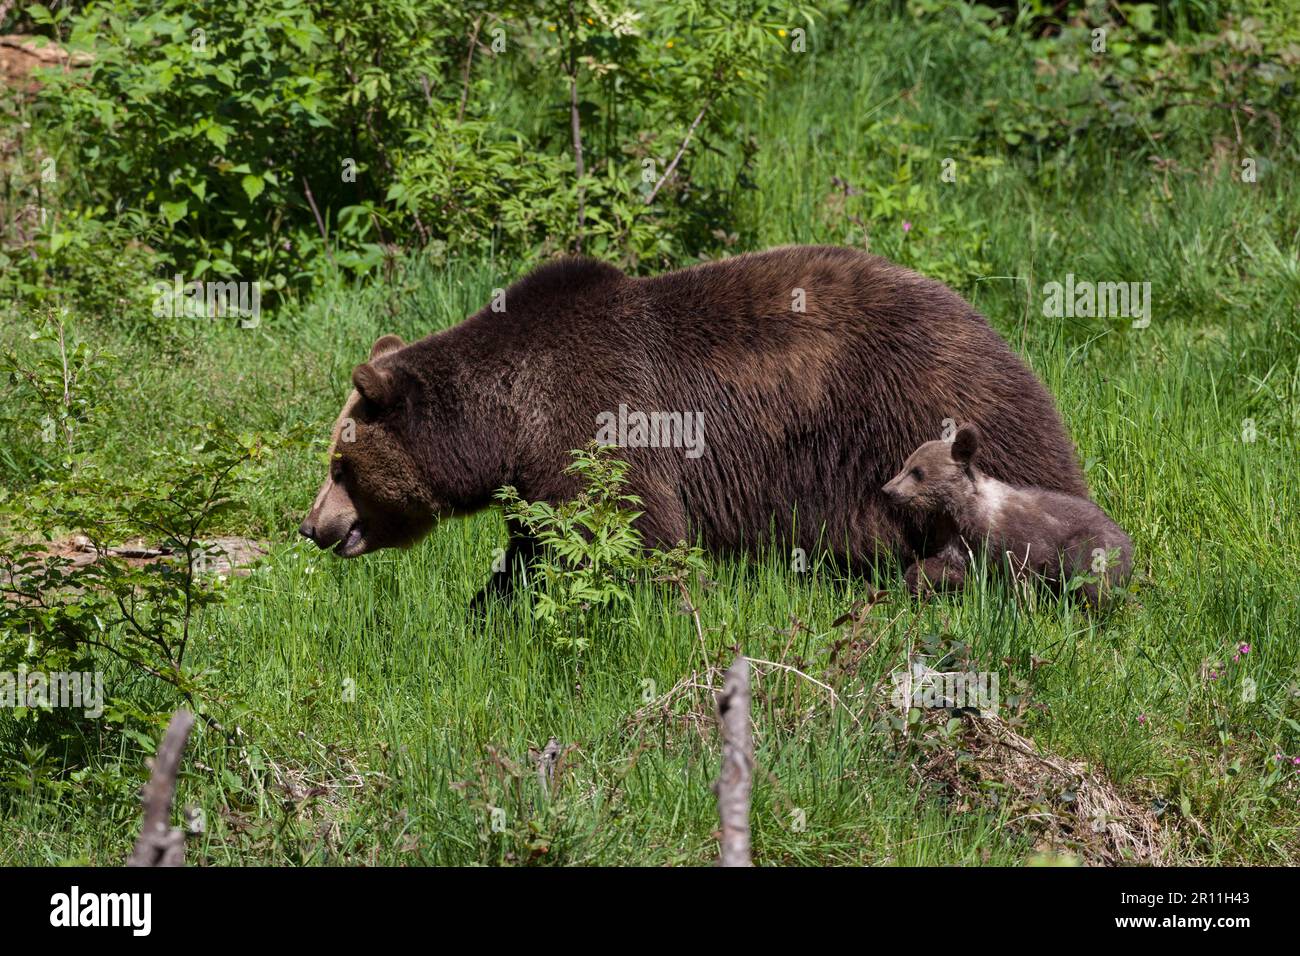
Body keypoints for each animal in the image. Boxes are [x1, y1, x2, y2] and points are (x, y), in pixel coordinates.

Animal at [298, 245, 1088, 601]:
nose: (311, 525)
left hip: (926, 406)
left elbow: (634, 529)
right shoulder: (540, 475)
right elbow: (533, 553)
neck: (508, 418)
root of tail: (985, 321)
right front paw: (492, 606)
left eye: (340, 466)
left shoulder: (601, 419)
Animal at [881, 422, 1133, 605]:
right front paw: (916, 583)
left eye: (917, 472)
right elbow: (944, 565)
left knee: (1090, 576)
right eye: (905, 465)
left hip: (1094, 544)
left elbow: (1021, 574)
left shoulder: (1019, 538)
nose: (887, 490)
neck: (963, 511)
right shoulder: (956, 537)